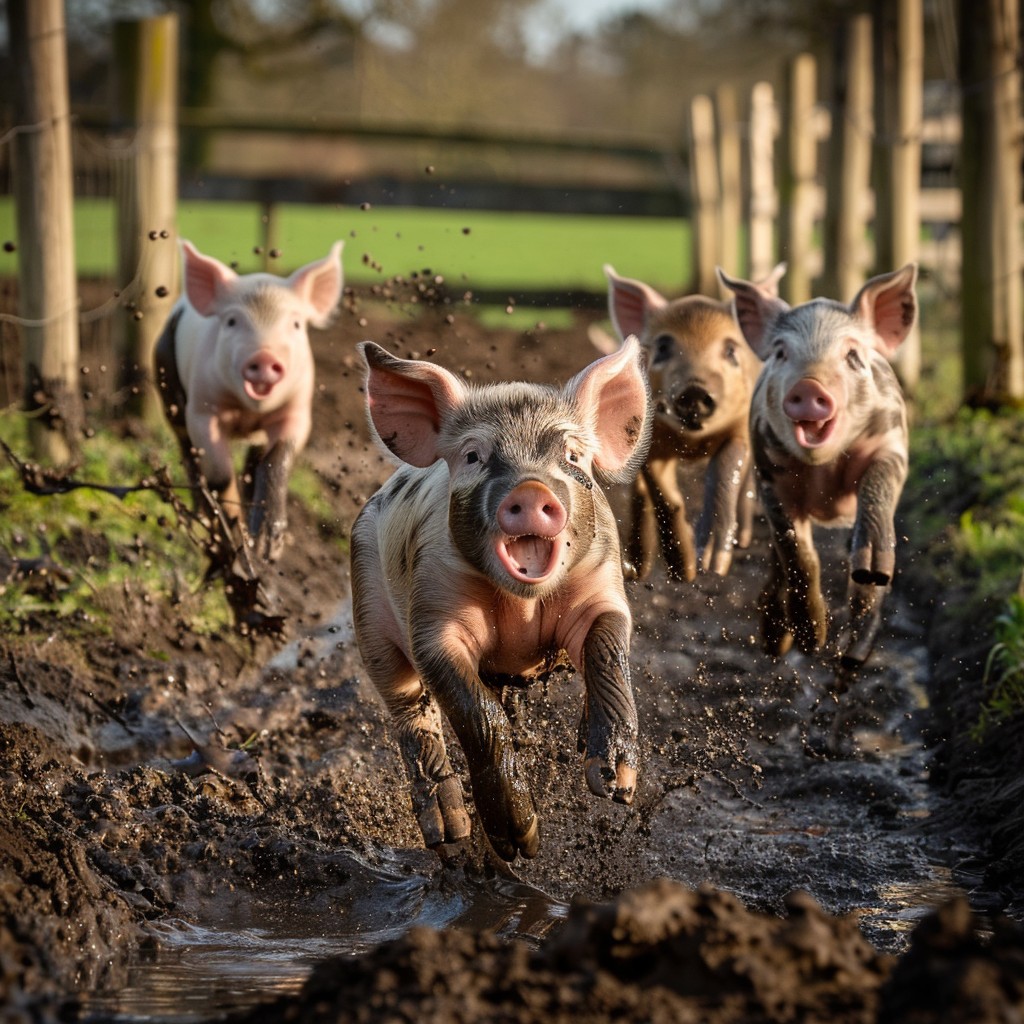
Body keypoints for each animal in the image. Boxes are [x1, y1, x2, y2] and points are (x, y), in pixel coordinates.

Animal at [154, 240, 344, 564]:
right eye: (232, 321)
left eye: (296, 324)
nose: (264, 356)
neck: (248, 411)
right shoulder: (201, 411)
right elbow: (219, 474)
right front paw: (234, 535)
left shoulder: (298, 411)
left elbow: (277, 459)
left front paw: (268, 549)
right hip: (167, 385)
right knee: (189, 455)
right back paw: (203, 516)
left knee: (253, 462)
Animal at [349, 337, 652, 861]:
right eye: (474, 455)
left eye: (572, 455)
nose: (529, 489)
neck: (520, 608)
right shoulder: (432, 620)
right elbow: (478, 713)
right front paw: (520, 844)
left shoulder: (603, 589)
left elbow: (607, 651)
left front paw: (615, 785)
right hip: (369, 620)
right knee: (412, 715)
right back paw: (449, 836)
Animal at [601, 264, 783, 580]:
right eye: (663, 347)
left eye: (730, 350)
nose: (694, 389)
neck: (693, 444)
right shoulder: (650, 439)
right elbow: (661, 492)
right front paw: (683, 572)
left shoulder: (740, 428)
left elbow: (725, 469)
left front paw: (712, 565)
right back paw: (638, 569)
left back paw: (742, 540)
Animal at [717, 263, 918, 668]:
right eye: (781, 353)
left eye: (853, 355)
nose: (809, 386)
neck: (824, 471)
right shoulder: (768, 474)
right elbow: (798, 554)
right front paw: (811, 642)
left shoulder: (892, 445)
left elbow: (877, 490)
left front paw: (872, 572)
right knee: (779, 560)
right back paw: (776, 642)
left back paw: (853, 657)